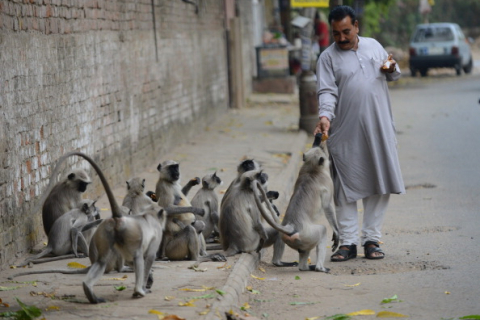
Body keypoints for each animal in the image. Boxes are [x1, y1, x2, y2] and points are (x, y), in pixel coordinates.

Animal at [253, 133, 340, 272]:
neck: (312, 170)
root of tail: (292, 226)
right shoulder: (327, 182)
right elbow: (327, 206)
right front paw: (336, 232)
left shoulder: (303, 169)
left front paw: (318, 138)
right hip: (308, 235)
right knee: (322, 230)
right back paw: (319, 268)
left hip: (297, 239)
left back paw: (301, 266)